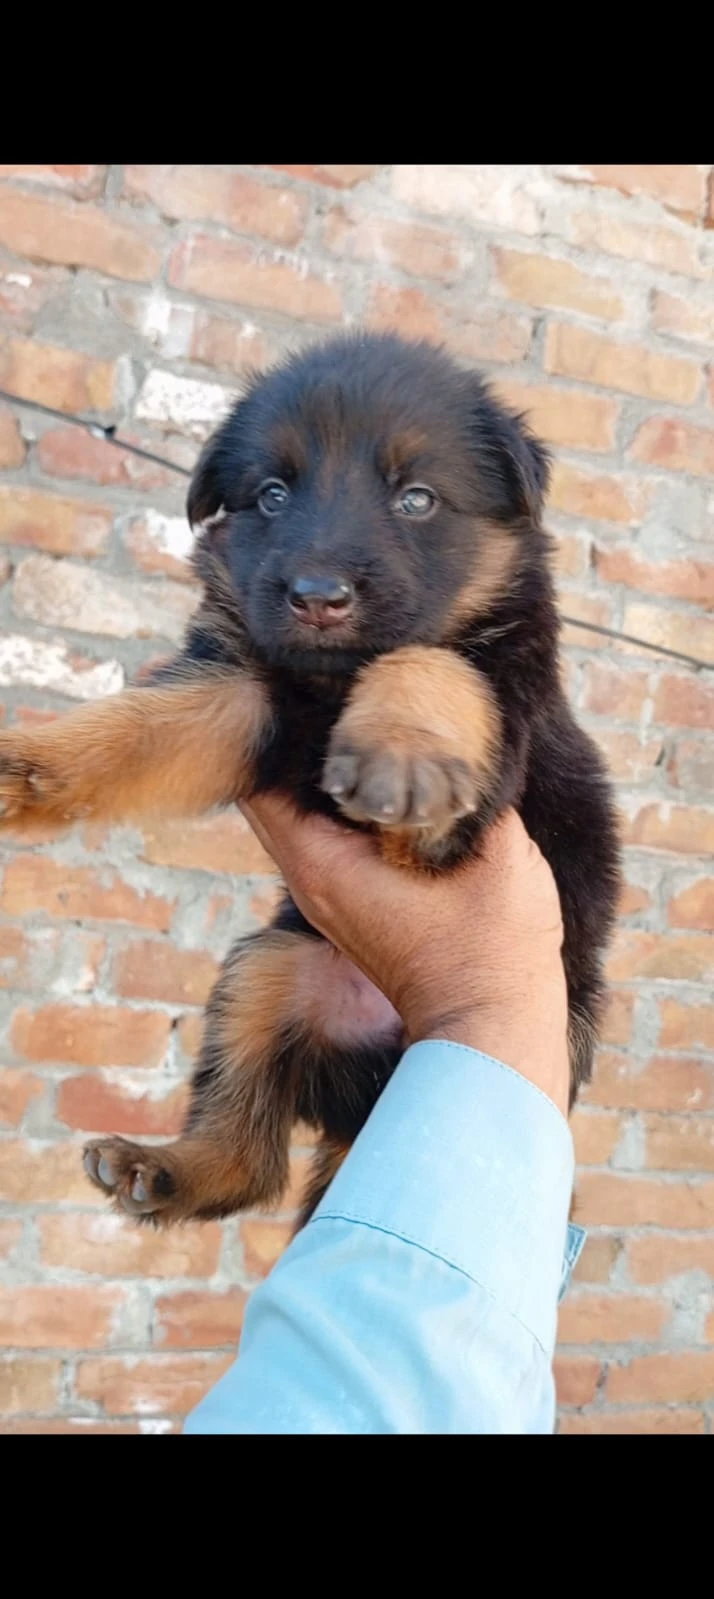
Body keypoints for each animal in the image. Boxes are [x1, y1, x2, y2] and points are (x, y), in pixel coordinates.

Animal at [0, 330, 619, 1228]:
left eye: (418, 499)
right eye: (272, 494)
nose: (316, 597)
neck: (329, 685)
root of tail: (358, 1099)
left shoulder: (492, 740)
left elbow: (430, 659)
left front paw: (402, 749)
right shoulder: (242, 692)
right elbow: (140, 725)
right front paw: (26, 762)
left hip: (556, 1027)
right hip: (266, 970)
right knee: (249, 1154)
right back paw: (162, 1166)